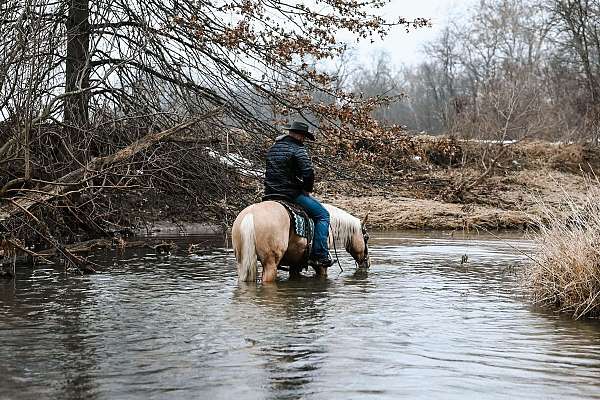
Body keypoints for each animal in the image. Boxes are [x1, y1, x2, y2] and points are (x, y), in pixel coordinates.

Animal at [231, 202, 368, 282]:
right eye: (366, 237)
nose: (367, 263)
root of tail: (250, 215)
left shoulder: (295, 264)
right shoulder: (320, 265)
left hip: (242, 262)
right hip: (270, 264)